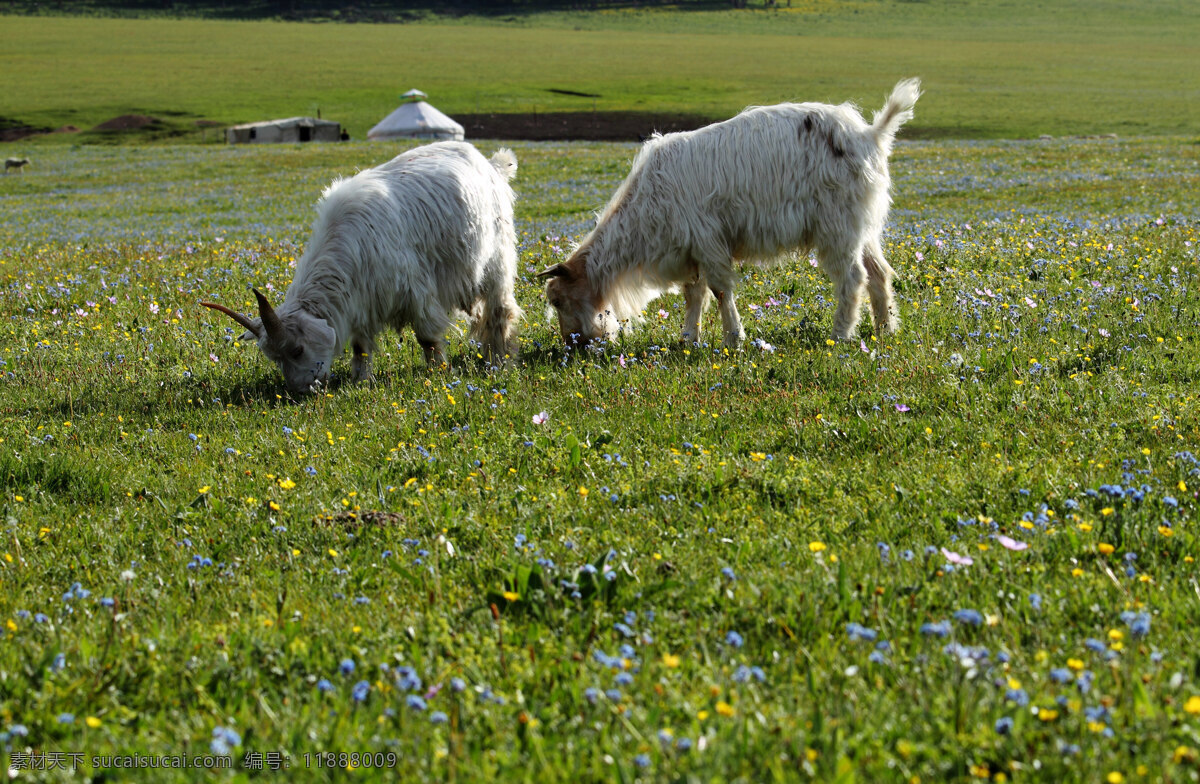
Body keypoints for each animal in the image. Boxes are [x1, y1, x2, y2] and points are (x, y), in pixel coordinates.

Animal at [201, 140, 520, 393]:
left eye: (297, 349)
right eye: (275, 358)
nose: (302, 390)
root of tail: (492, 164)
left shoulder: (416, 290)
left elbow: (427, 338)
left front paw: (438, 372)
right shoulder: (361, 304)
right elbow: (361, 348)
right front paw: (361, 381)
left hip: (497, 258)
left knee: (499, 310)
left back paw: (499, 360)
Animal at [540, 78, 921, 345]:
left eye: (557, 301)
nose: (574, 346)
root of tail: (871, 134)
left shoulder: (708, 241)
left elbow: (720, 290)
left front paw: (733, 339)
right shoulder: (689, 249)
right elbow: (693, 294)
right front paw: (689, 338)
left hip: (838, 227)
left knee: (853, 278)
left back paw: (840, 334)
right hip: (863, 226)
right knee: (879, 273)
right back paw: (885, 330)